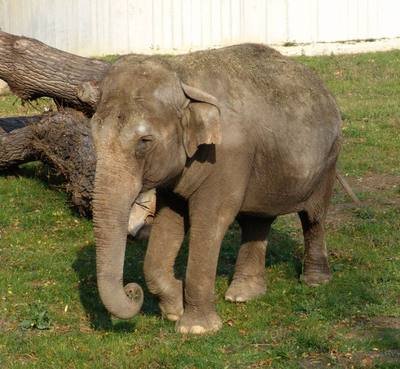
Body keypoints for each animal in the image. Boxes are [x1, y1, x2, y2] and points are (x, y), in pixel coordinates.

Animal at [83, 43, 340, 334]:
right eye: (93, 134)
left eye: (144, 141)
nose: (132, 290)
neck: (180, 73)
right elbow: (169, 221)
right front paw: (174, 309)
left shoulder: (226, 158)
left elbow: (210, 221)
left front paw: (196, 329)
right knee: (257, 220)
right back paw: (242, 295)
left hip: (328, 161)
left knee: (313, 217)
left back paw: (314, 281)